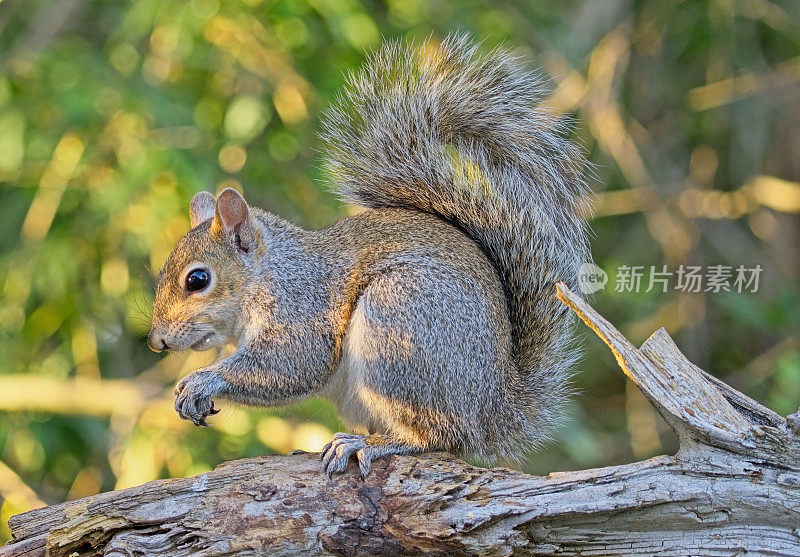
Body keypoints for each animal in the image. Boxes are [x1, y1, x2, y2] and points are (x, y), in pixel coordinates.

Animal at [147, 34, 592, 476]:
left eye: (197, 280)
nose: (156, 342)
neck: (268, 273)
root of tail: (494, 407)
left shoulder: (301, 308)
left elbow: (291, 363)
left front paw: (202, 380)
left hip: (398, 324)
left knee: (435, 436)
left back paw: (369, 443)